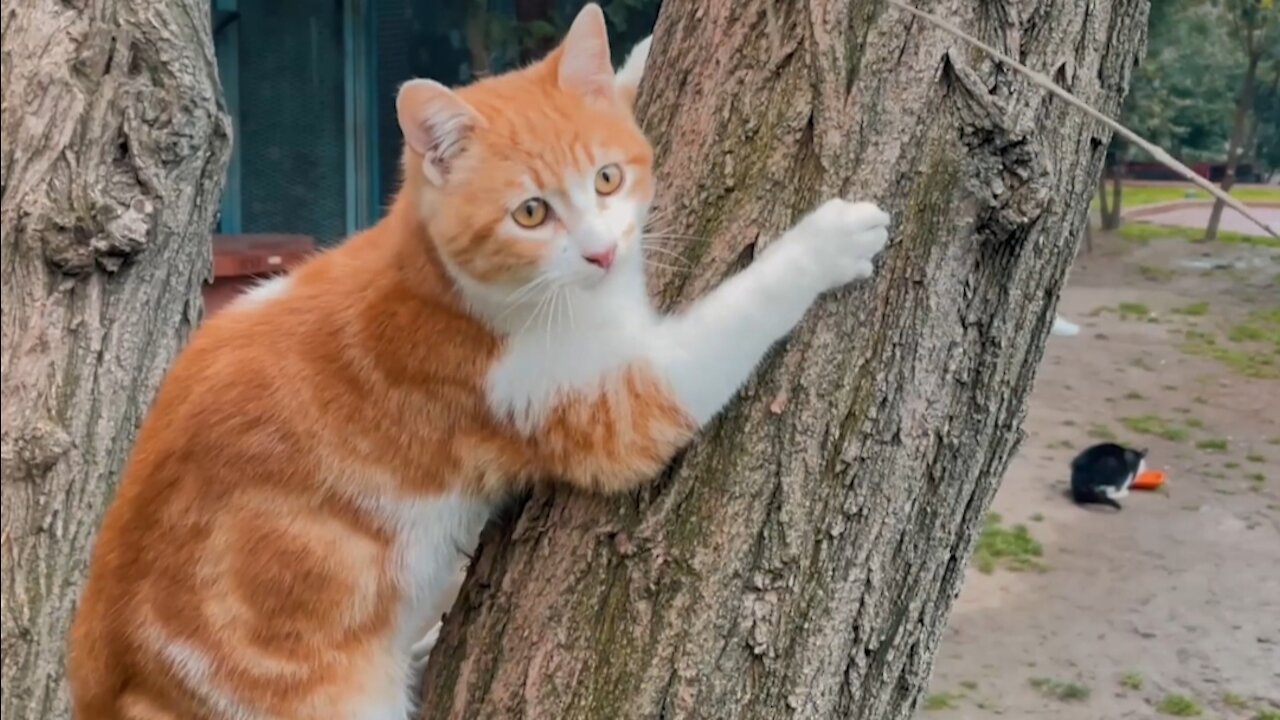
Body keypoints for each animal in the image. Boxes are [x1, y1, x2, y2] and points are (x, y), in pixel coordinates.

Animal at [67, 4, 890, 712]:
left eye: (607, 178)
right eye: (531, 213)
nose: (601, 251)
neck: (447, 281)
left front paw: (634, 55)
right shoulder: (610, 403)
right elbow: (728, 325)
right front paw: (828, 242)